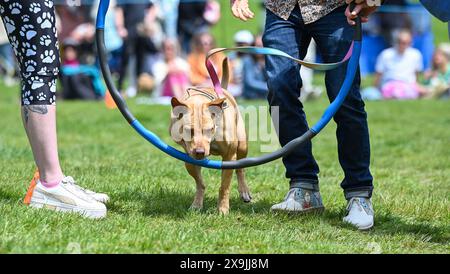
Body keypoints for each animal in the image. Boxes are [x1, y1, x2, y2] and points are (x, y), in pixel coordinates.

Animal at [170, 62, 251, 214]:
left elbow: (224, 186)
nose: (200, 152)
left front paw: (223, 209)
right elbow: (200, 183)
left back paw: (244, 191)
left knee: (240, 169)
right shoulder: (190, 158)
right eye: (189, 130)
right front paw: (197, 204)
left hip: (243, 145)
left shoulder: (229, 157)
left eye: (210, 129)